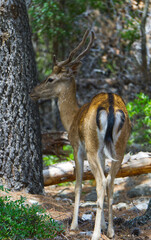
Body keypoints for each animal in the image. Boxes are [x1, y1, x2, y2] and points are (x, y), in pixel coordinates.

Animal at [30, 30, 131, 240]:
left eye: (50, 78)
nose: (32, 92)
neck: (71, 118)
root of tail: (111, 107)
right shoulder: (102, 153)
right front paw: (103, 224)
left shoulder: (76, 146)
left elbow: (78, 184)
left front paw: (75, 225)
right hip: (119, 146)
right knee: (110, 182)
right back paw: (110, 231)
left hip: (91, 146)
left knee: (101, 182)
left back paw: (94, 234)